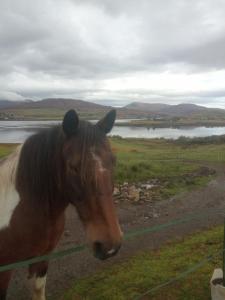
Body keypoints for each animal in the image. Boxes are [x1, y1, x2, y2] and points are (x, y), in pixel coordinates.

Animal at [0, 110, 122, 300]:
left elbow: (38, 289)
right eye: (73, 167)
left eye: (113, 161)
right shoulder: (4, 271)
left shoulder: (42, 256)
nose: (110, 246)